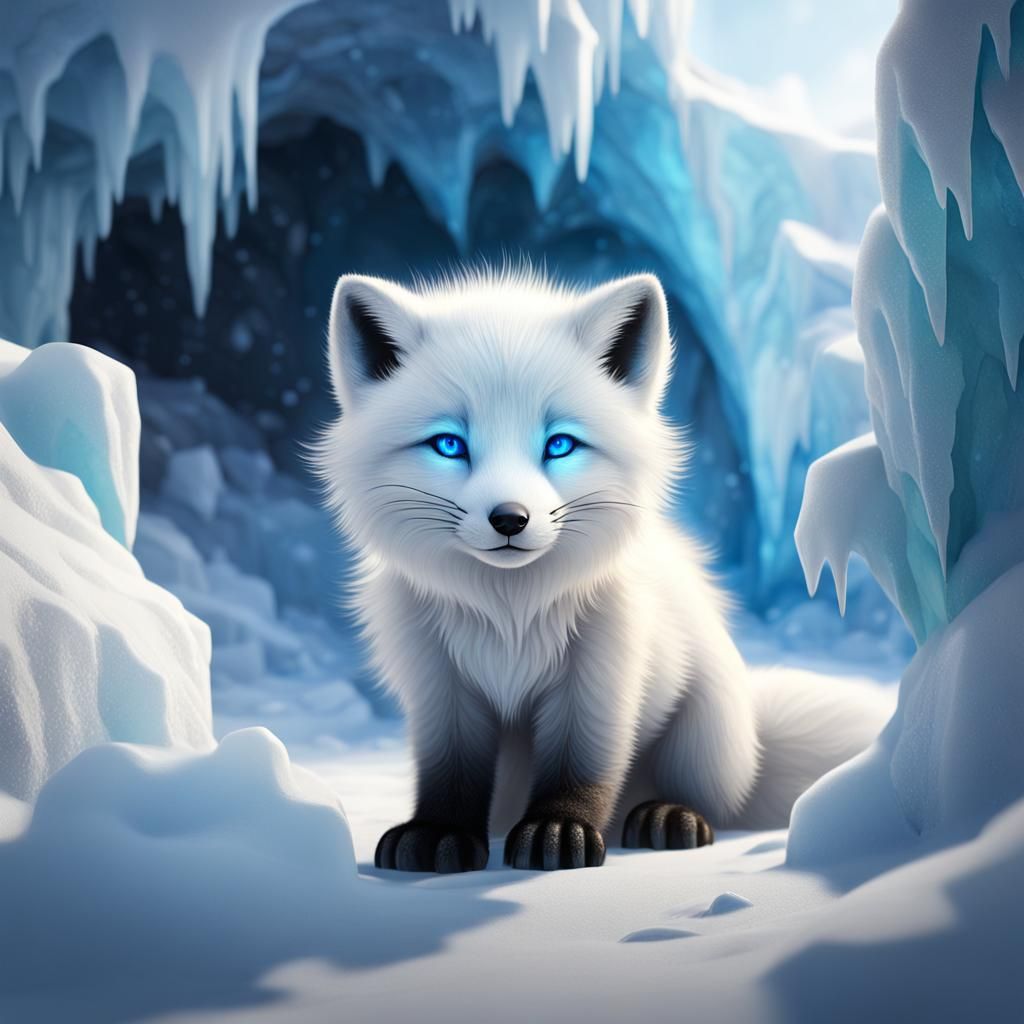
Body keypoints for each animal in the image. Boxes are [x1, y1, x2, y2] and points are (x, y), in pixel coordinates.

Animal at [313, 267, 890, 873]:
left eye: (560, 445)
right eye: (449, 445)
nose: (510, 519)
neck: (509, 613)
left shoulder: (601, 672)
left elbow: (581, 765)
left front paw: (558, 831)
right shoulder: (440, 687)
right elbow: (450, 773)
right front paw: (437, 832)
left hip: (703, 727)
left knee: (705, 797)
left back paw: (668, 818)